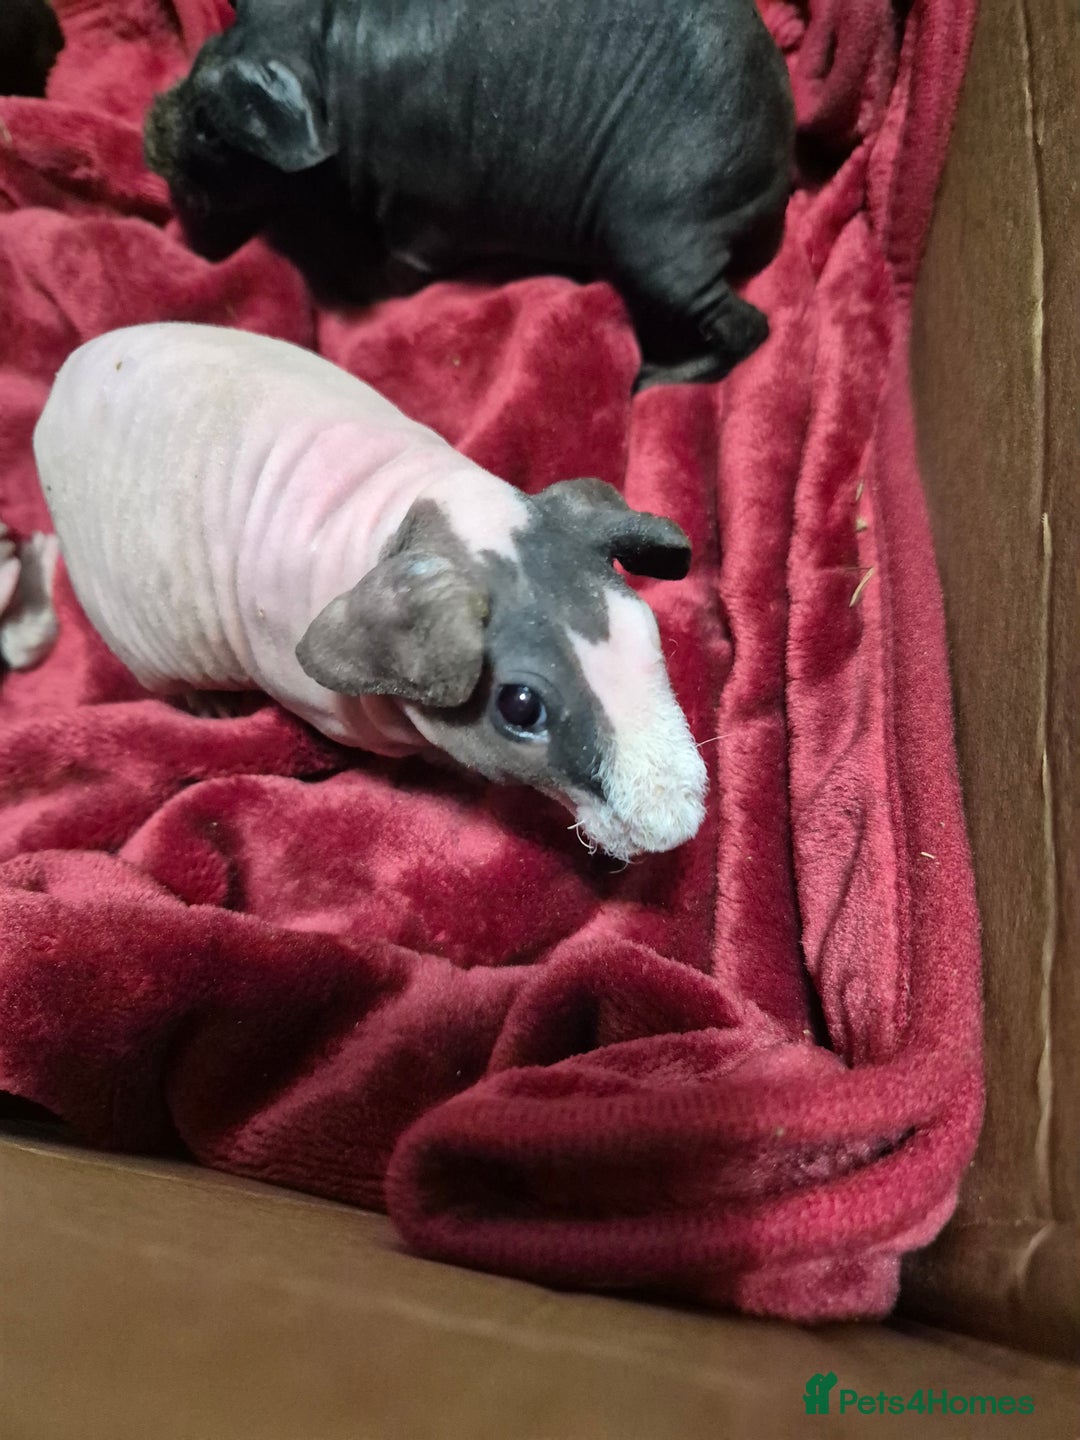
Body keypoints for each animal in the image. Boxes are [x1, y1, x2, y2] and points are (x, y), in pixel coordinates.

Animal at [143, 0, 795, 391]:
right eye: (202, 54)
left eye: (210, 127)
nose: (147, 133)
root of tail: (779, 169)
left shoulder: (422, 228)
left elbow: (394, 275)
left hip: (654, 242)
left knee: (749, 326)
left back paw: (647, 379)